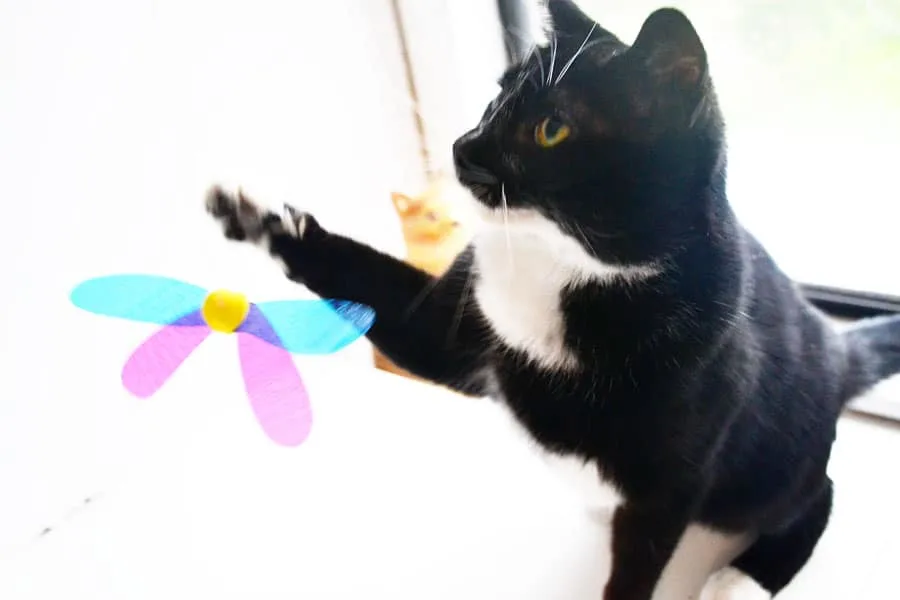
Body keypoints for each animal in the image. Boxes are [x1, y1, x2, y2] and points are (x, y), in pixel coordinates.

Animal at [202, 2, 900, 596]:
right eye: (497, 97)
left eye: (552, 130)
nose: (462, 146)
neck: (557, 264)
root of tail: (838, 348)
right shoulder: (454, 319)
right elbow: (364, 283)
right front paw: (261, 217)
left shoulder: (669, 481)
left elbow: (637, 566)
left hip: (769, 463)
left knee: (816, 495)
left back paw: (741, 579)